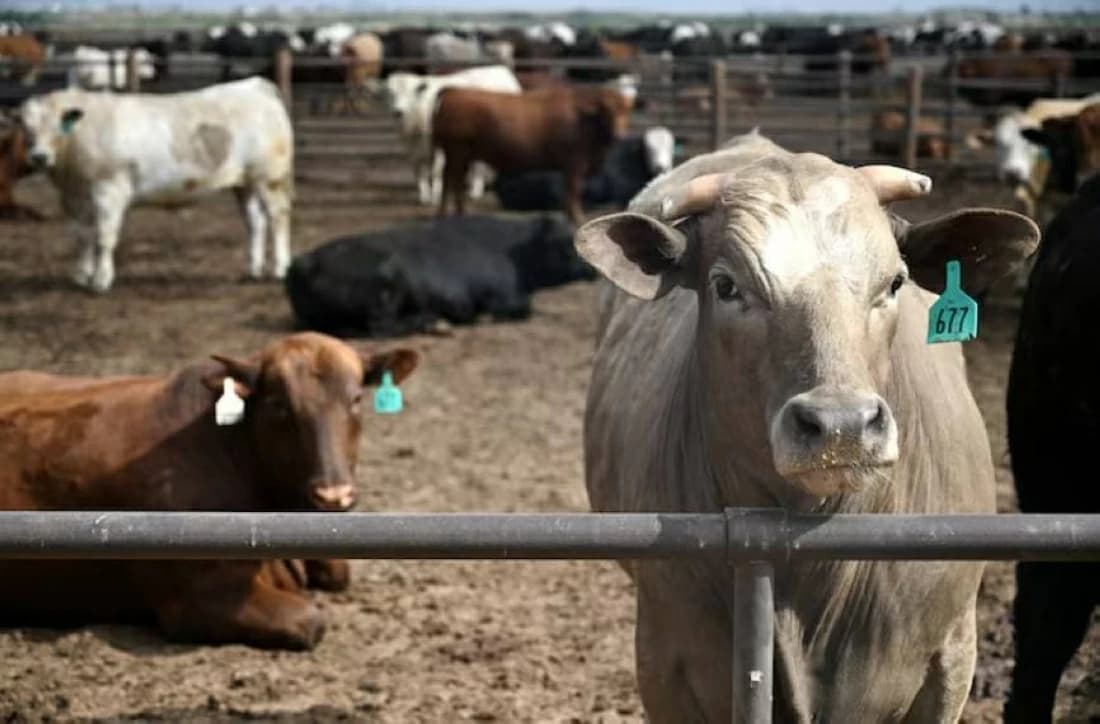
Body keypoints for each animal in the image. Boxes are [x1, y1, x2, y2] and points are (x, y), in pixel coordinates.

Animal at [14, 76, 294, 293]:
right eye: (26, 127)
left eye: (57, 126)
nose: (39, 157)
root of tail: (255, 85)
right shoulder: (72, 197)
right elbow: (81, 236)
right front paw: (81, 276)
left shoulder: (110, 189)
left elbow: (104, 237)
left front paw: (101, 281)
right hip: (244, 182)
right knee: (255, 222)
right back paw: (253, 269)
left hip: (270, 177)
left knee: (278, 216)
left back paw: (280, 268)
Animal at [284, 213, 595, 337]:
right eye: (566, 244)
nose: (594, 269)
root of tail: (303, 262)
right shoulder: (501, 296)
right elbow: (520, 307)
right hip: (386, 289)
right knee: (382, 328)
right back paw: (435, 323)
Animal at [371, 64, 522, 206]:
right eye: (389, 93)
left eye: (411, 93)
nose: (398, 111)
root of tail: (500, 69)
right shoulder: (412, 148)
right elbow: (419, 172)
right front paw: (424, 196)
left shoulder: (439, 147)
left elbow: (436, 171)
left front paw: (435, 197)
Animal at [432, 84, 635, 224]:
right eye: (606, 112)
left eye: (626, 111)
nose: (620, 135)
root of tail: (454, 91)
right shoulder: (574, 164)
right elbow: (574, 190)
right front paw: (577, 217)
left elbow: (569, 192)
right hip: (456, 151)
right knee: (450, 180)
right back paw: (445, 214)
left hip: (462, 155)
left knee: (455, 181)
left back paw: (459, 213)